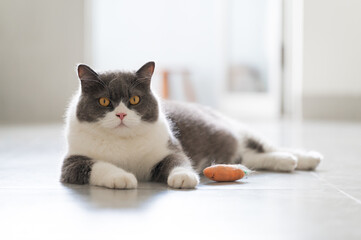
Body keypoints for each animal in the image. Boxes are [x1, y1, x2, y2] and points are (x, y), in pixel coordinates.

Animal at [59, 62, 320, 189]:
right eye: (104, 101)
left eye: (134, 100)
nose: (121, 114)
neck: (123, 142)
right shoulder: (71, 163)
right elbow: (97, 166)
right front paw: (121, 178)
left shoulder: (169, 147)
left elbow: (179, 161)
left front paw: (184, 178)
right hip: (237, 150)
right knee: (250, 156)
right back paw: (287, 161)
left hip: (233, 128)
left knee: (262, 146)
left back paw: (307, 158)